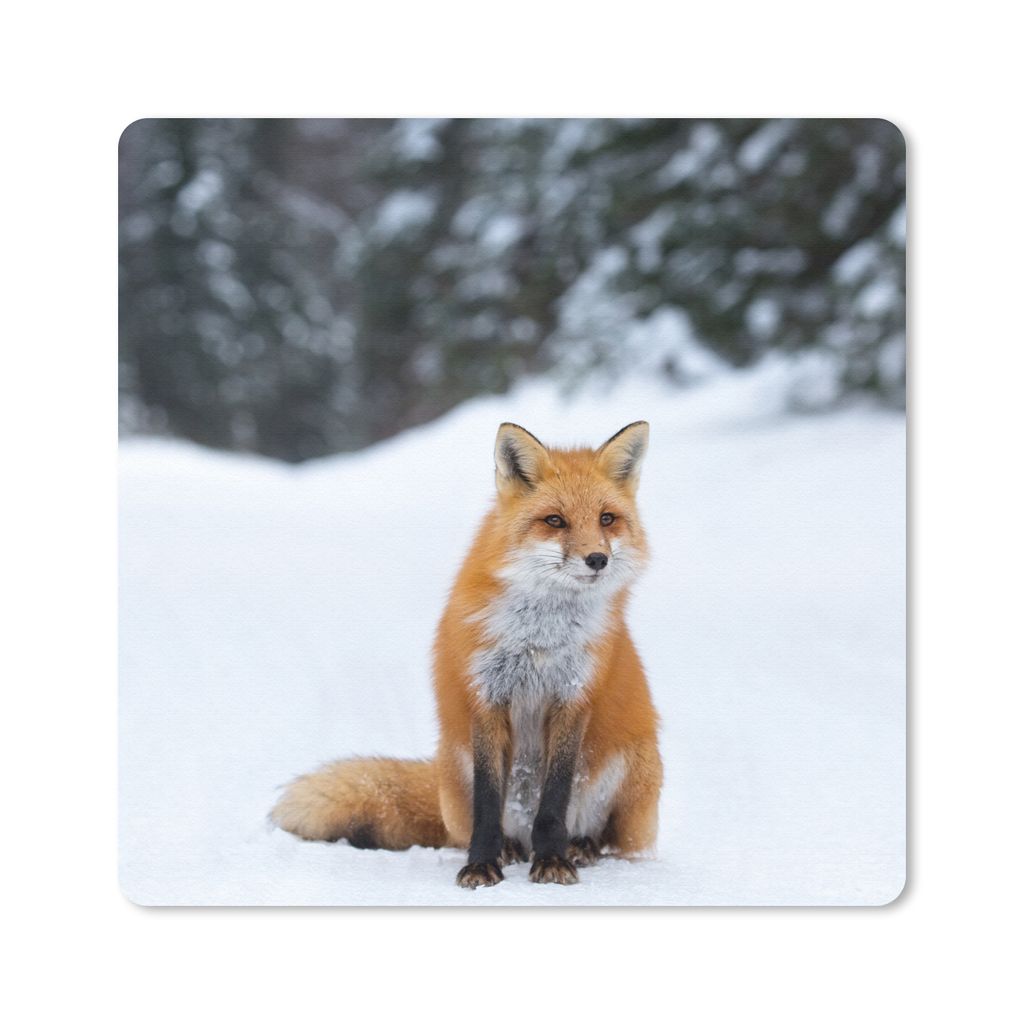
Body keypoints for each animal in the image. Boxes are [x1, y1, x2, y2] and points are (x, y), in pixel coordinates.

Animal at [271, 420, 662, 887]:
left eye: (606, 518)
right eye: (555, 521)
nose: (597, 559)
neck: (539, 637)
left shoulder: (573, 697)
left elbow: (554, 802)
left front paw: (552, 860)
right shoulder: (486, 696)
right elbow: (488, 804)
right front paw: (481, 864)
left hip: (635, 767)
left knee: (610, 841)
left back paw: (578, 847)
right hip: (455, 766)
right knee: (476, 827)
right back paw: (511, 848)